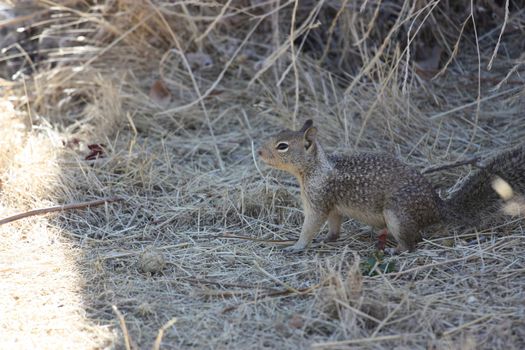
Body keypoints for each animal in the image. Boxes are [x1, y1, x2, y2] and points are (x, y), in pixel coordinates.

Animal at [256, 119, 524, 252]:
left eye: (282, 146)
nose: (258, 151)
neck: (314, 169)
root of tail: (438, 207)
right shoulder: (332, 205)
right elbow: (334, 225)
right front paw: (328, 239)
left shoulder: (318, 202)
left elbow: (310, 226)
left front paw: (297, 246)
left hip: (397, 215)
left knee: (412, 243)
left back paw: (395, 250)